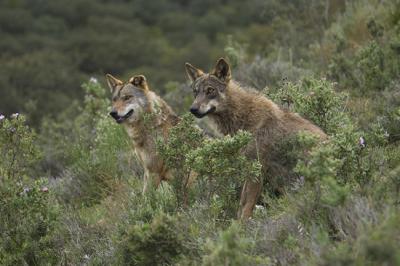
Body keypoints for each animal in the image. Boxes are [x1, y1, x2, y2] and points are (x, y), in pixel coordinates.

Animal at [186, 59, 326, 219]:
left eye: (210, 90)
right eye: (195, 92)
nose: (193, 109)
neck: (243, 117)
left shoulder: (256, 169)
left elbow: (246, 207)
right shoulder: (249, 168)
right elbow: (241, 205)